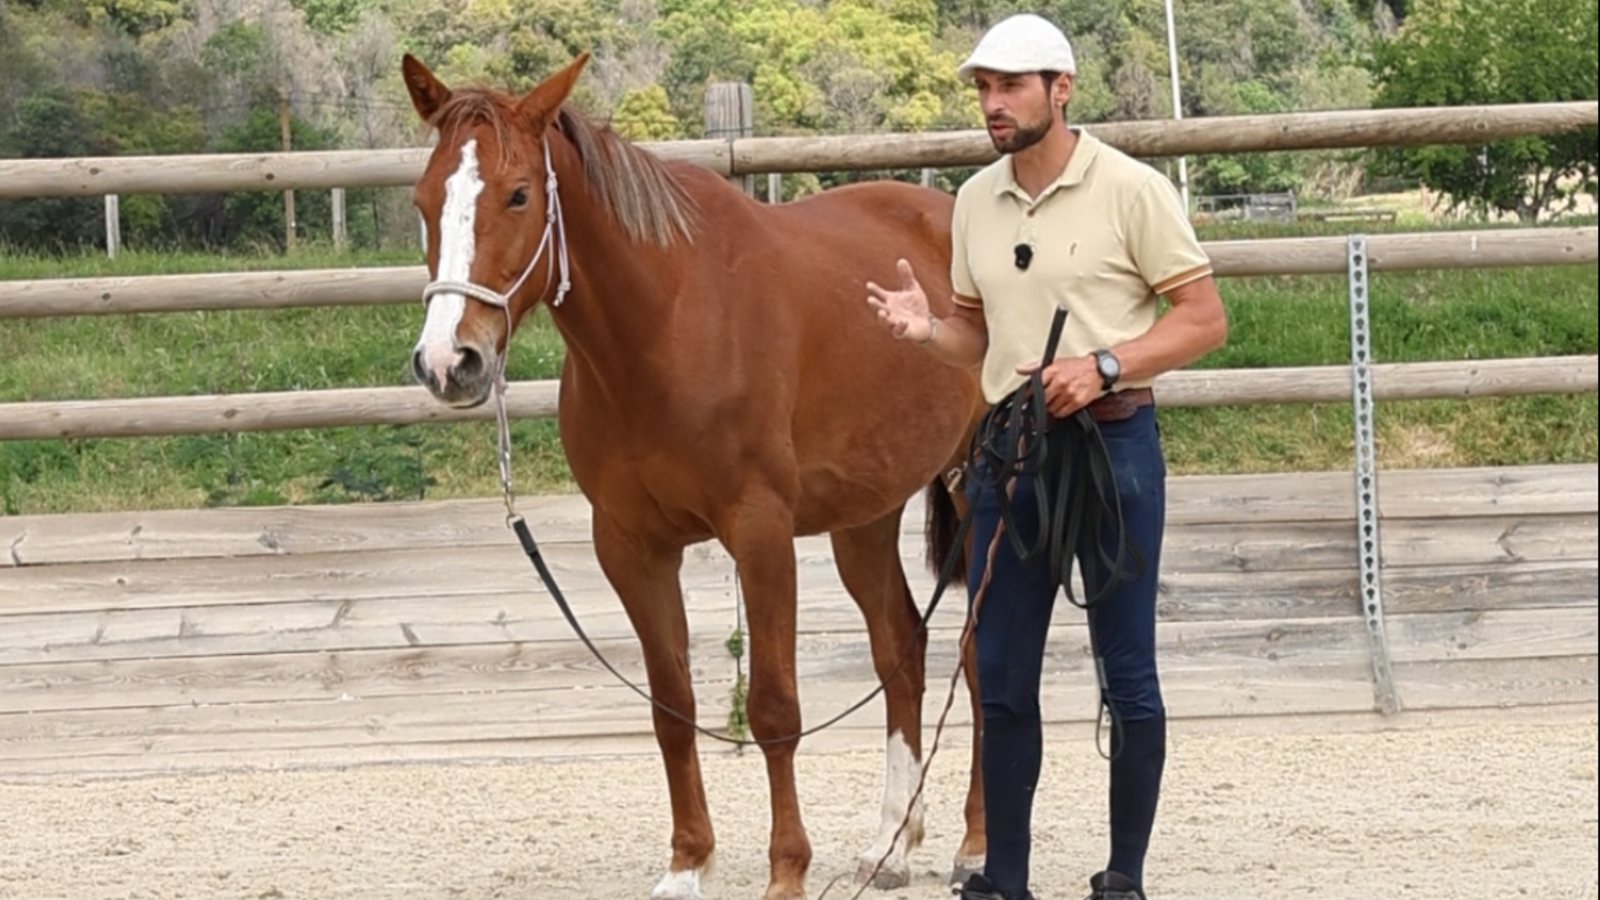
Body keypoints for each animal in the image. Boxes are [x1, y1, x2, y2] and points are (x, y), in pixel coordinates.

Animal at [401, 51, 990, 899]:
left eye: (517, 194)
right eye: (422, 199)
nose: (451, 362)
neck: (667, 326)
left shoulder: (761, 532)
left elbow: (774, 709)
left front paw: (786, 870)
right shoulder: (631, 546)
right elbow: (670, 705)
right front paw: (688, 863)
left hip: (982, 491)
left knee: (981, 656)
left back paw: (977, 845)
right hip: (866, 517)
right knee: (901, 651)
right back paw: (890, 843)